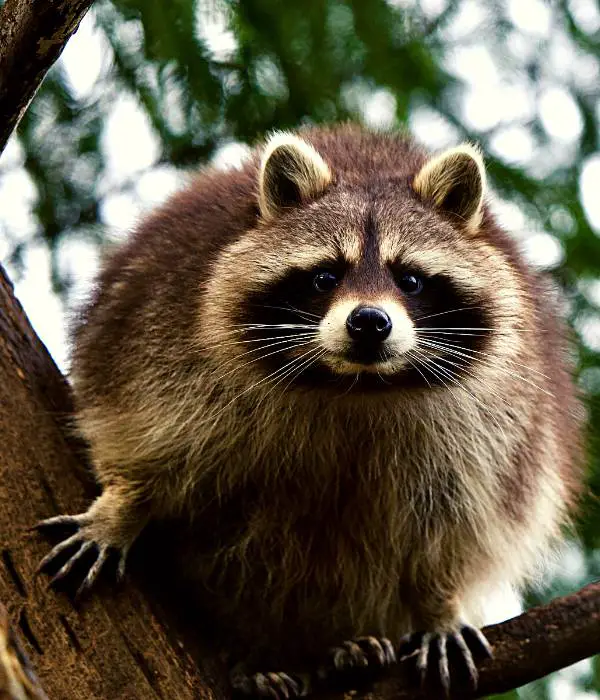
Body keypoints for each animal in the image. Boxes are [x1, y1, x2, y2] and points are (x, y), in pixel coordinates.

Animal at [37, 124, 580, 696]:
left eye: (409, 279)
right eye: (326, 277)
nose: (369, 322)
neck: (355, 384)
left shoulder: (501, 418)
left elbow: (459, 522)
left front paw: (441, 603)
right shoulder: (167, 335)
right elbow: (151, 434)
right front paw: (123, 505)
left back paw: (344, 651)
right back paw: (252, 657)